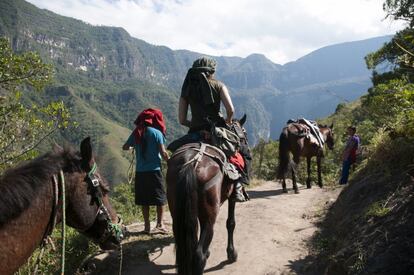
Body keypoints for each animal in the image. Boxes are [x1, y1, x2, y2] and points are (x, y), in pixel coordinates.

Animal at [167, 116, 247, 275]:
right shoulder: (231, 198)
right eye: (244, 134)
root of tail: (191, 163)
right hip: (210, 214)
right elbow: (231, 223)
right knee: (199, 255)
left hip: (177, 212)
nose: (246, 149)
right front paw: (231, 253)